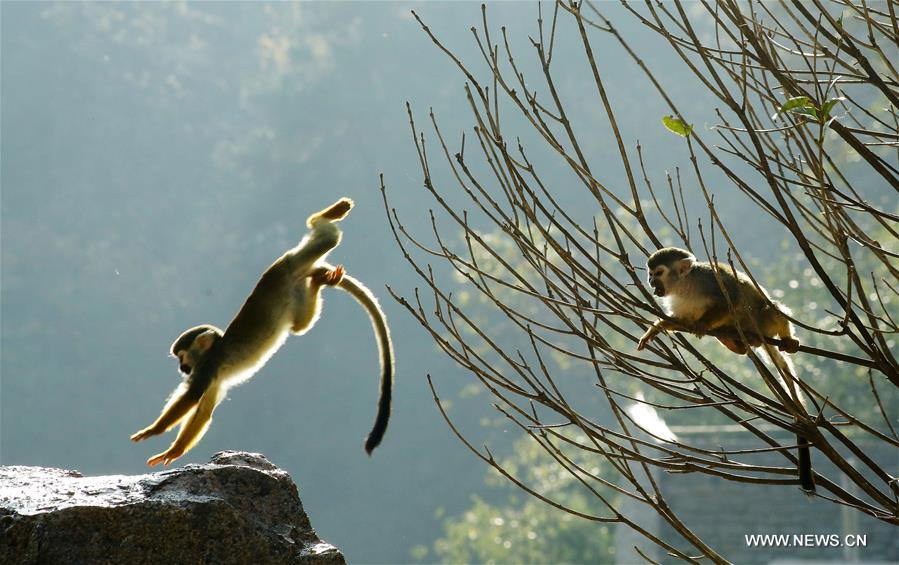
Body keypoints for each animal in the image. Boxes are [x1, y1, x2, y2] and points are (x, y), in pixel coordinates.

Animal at [131, 197, 394, 466]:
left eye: (183, 357)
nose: (182, 368)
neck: (213, 350)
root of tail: (299, 272)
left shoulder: (207, 366)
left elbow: (192, 397)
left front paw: (153, 431)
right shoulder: (215, 377)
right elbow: (205, 410)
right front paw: (174, 451)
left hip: (287, 264)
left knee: (327, 238)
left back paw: (327, 216)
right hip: (295, 286)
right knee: (300, 325)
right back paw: (322, 280)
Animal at [636, 247, 814, 493]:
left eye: (658, 272)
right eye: (651, 273)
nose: (651, 282)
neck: (685, 284)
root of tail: (761, 336)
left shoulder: (709, 280)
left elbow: (732, 299)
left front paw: (702, 325)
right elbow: (683, 320)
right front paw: (657, 328)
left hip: (763, 323)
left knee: (770, 309)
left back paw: (784, 339)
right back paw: (736, 343)